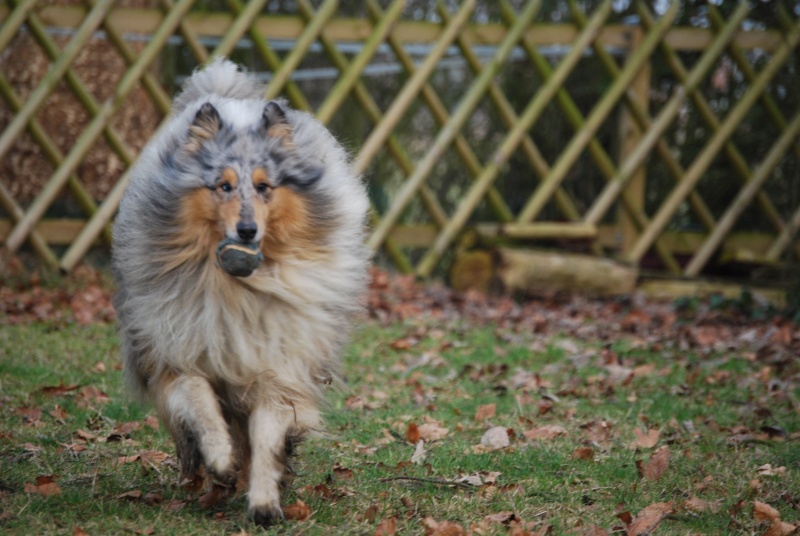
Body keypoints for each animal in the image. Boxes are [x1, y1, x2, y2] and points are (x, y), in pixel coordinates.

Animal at [111, 57, 370, 524]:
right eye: (224, 185)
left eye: (265, 187)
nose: (246, 230)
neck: (237, 289)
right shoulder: (177, 351)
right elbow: (200, 403)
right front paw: (220, 459)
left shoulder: (277, 366)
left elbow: (267, 435)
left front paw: (264, 501)